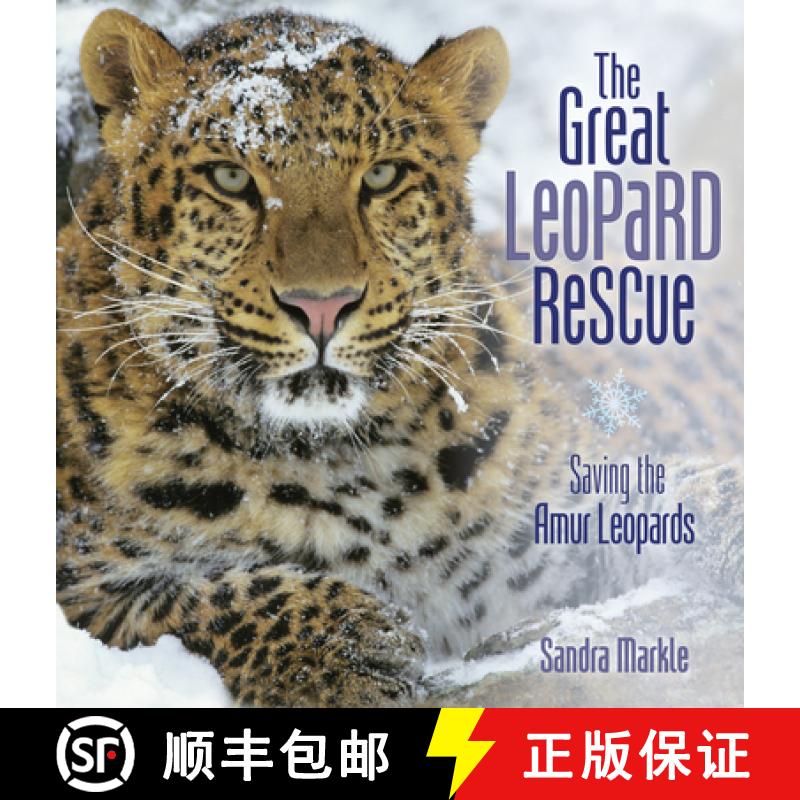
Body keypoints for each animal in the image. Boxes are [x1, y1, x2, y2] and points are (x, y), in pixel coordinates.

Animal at [57, 8, 742, 707]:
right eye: (229, 178)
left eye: (383, 177)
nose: (322, 307)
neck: (342, 464)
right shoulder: (78, 584)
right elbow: (199, 599)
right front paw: (345, 650)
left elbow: (653, 493)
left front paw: (738, 521)